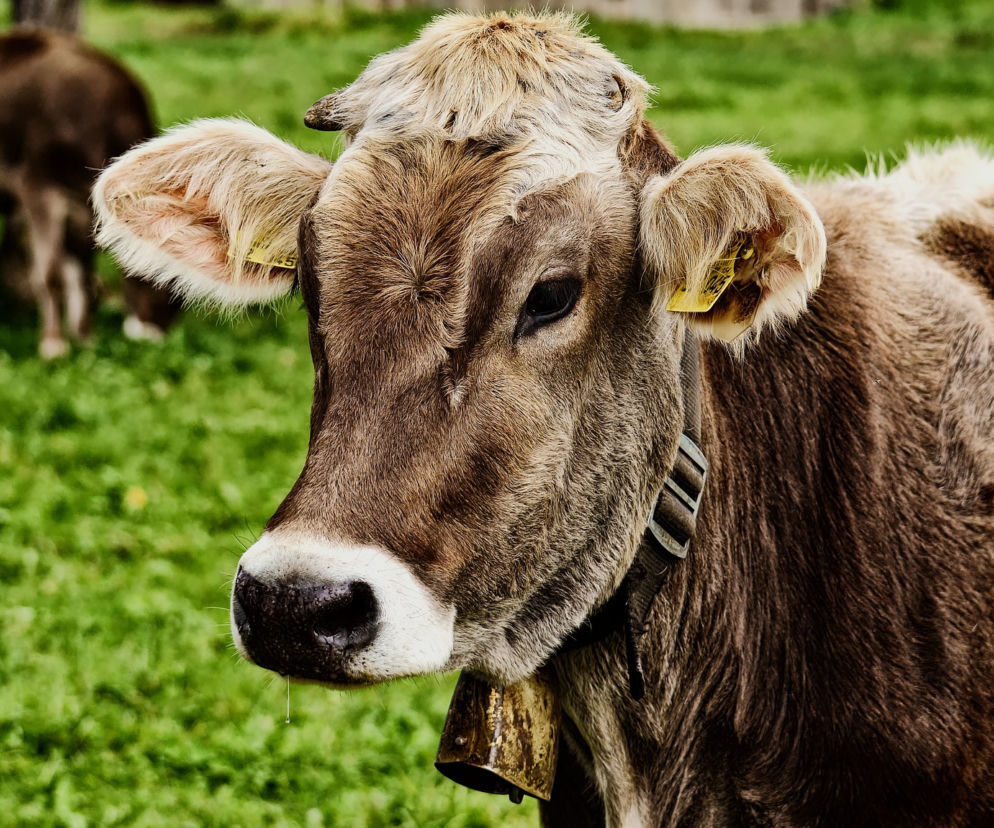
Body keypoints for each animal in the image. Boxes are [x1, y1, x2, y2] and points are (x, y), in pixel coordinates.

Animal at [0, 28, 180, 358]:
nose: (153, 335)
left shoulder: (84, 207)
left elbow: (82, 274)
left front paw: (84, 339)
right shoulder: (38, 186)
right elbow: (51, 273)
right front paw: (54, 345)